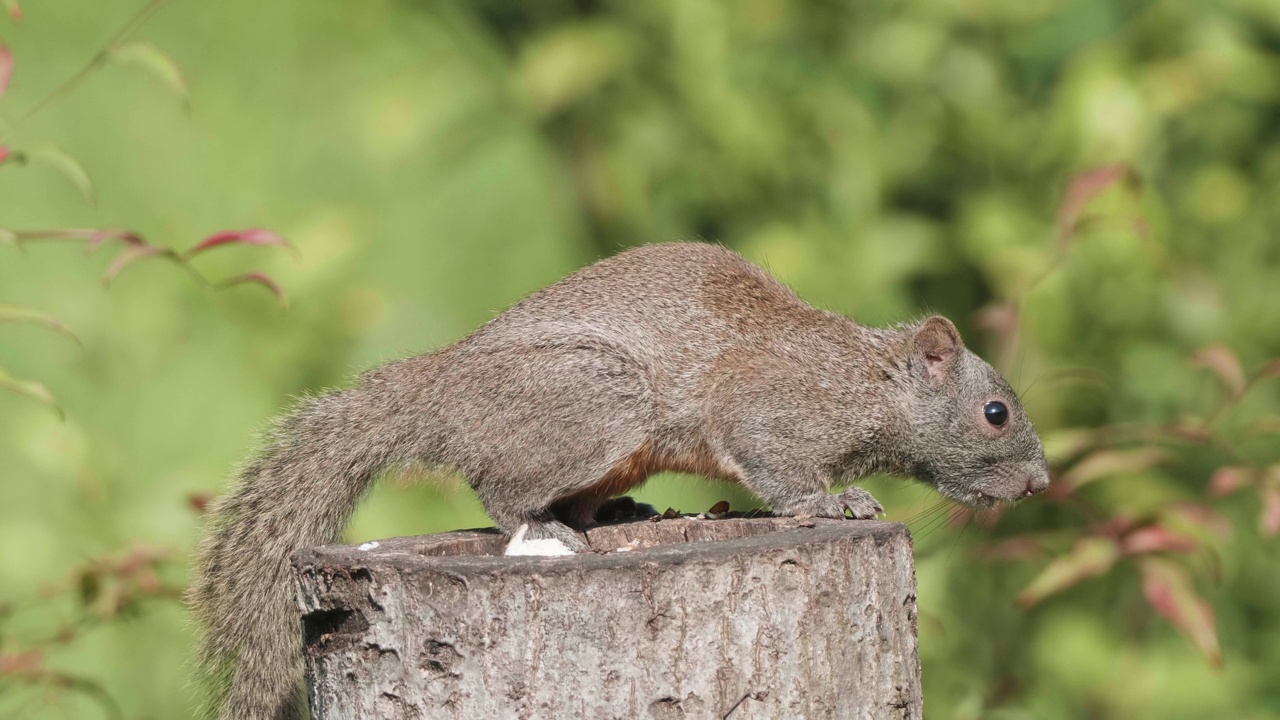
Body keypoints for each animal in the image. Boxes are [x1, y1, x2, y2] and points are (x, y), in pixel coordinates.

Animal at [189, 240, 1049, 717]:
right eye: (996, 413)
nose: (1041, 485)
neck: (867, 383)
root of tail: (442, 389)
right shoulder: (768, 413)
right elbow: (779, 468)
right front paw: (833, 502)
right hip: (601, 401)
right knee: (499, 489)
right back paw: (545, 526)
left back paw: (617, 513)